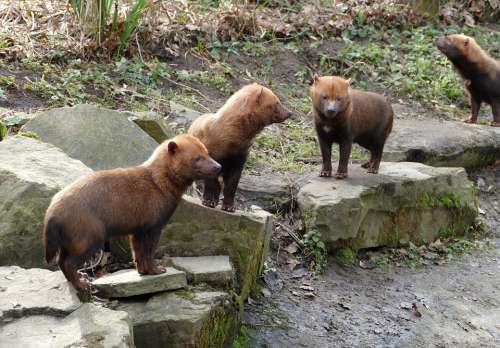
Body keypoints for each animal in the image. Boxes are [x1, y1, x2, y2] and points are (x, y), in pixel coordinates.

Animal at [42, 135, 222, 292]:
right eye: (197, 157)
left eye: (207, 151)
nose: (218, 166)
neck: (159, 185)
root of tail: (52, 211)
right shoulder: (153, 222)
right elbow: (148, 249)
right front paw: (158, 269)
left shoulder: (138, 226)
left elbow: (137, 250)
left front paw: (144, 271)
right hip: (87, 230)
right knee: (69, 261)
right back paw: (83, 284)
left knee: (61, 259)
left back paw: (81, 278)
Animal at [188, 83, 292, 211]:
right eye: (277, 102)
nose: (289, 112)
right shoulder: (211, 151)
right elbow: (212, 181)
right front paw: (209, 201)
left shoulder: (240, 155)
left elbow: (232, 184)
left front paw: (229, 207)